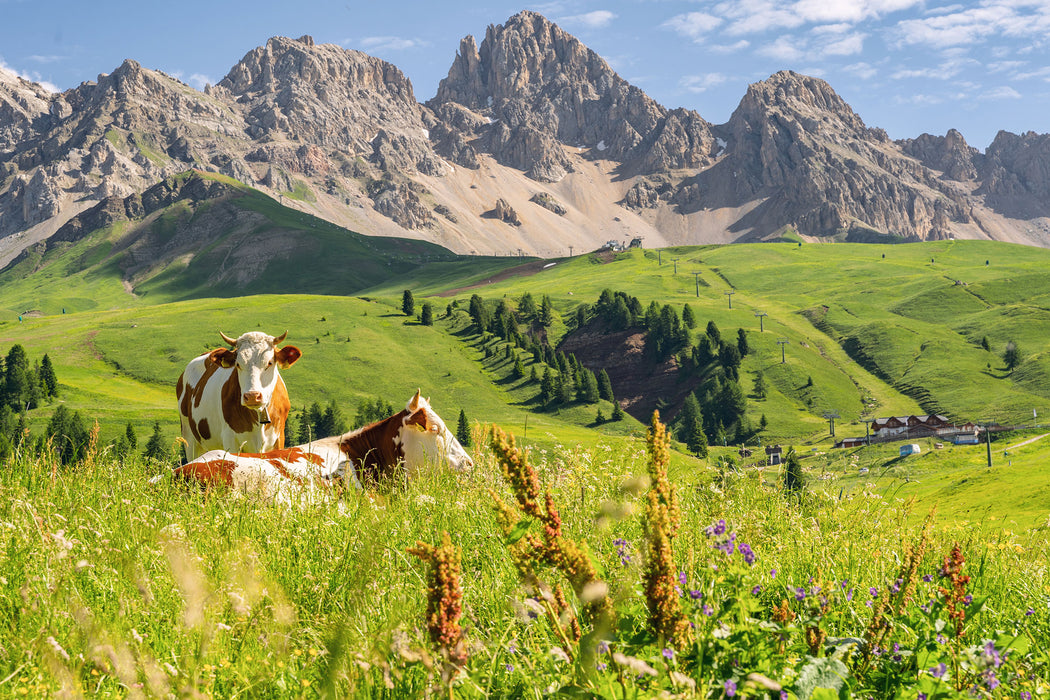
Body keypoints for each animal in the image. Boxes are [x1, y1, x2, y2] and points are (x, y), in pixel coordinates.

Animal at [174, 331, 302, 461]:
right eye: (238, 364)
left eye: (269, 363)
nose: (252, 396)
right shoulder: (230, 439)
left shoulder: (279, 438)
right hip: (189, 438)